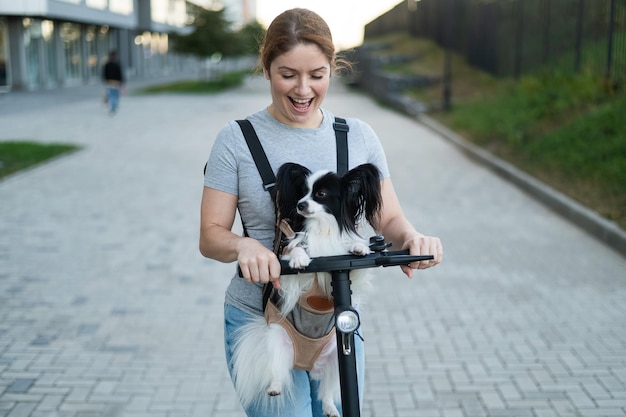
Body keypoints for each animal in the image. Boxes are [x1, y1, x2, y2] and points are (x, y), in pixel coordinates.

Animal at [230, 162, 380, 416]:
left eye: (320, 194)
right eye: (302, 193)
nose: (300, 205)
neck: (323, 227)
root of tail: (308, 364)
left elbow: (353, 256)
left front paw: (359, 247)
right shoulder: (292, 269)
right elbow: (297, 249)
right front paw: (300, 258)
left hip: (335, 355)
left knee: (326, 391)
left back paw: (330, 408)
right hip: (278, 341)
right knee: (278, 371)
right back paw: (275, 388)